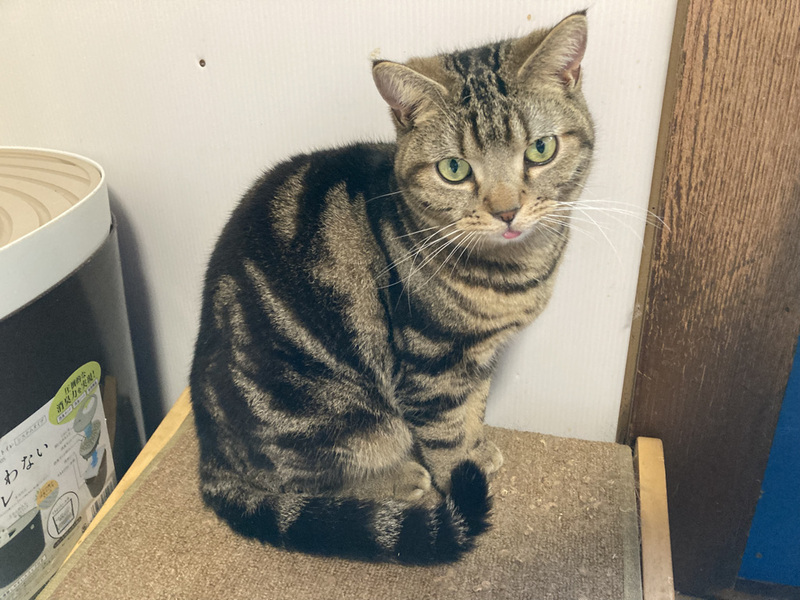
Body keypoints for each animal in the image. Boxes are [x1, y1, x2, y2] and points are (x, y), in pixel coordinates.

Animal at [190, 11, 594, 565]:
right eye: (454, 169)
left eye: (541, 149)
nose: (507, 210)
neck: (511, 272)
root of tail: (210, 456)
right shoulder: (429, 363)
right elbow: (444, 437)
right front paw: (459, 477)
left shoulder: (478, 358)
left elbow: (473, 410)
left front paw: (478, 448)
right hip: (334, 414)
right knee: (299, 481)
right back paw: (401, 478)